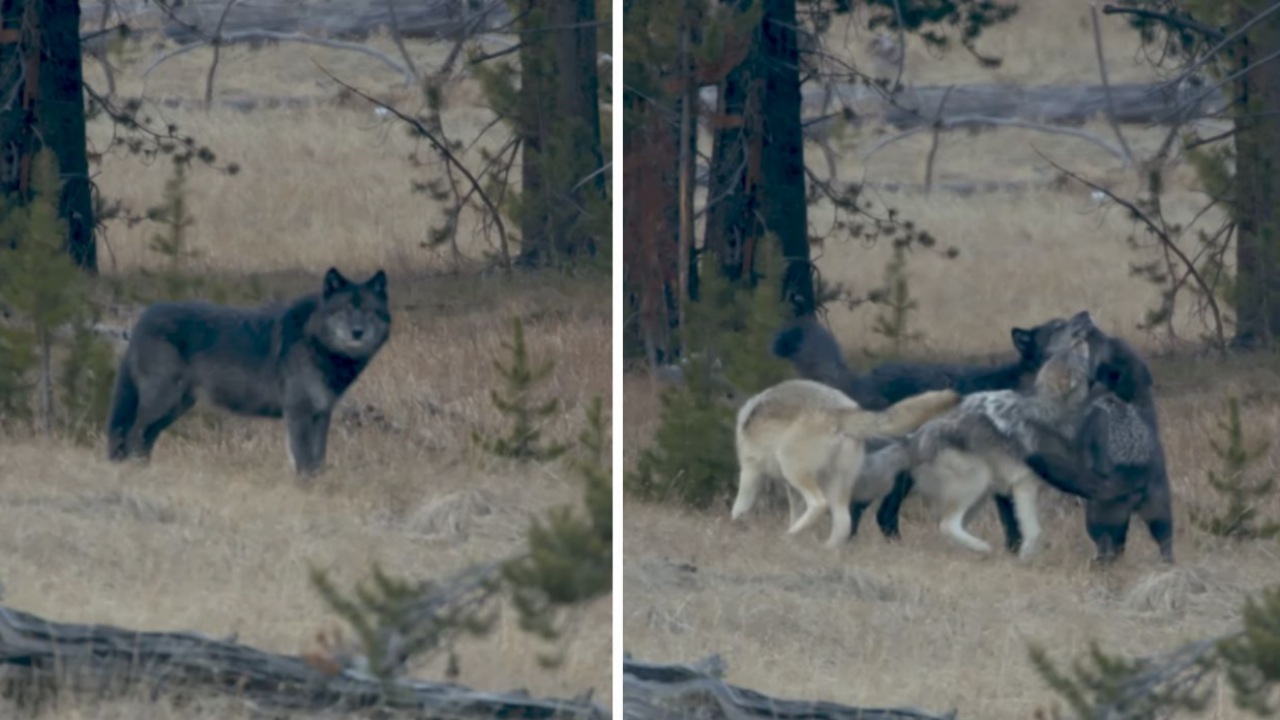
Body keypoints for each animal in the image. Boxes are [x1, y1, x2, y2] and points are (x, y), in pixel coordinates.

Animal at [106, 265, 389, 476]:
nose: (357, 332)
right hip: (164, 401)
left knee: (144, 439)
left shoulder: (321, 414)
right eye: (345, 310)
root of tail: (143, 318)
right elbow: (305, 461)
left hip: (177, 406)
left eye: (368, 311)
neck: (314, 342)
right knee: (132, 435)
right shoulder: (297, 413)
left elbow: (318, 461)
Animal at [732, 379, 962, 545]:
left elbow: (738, 508)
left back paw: (790, 534)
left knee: (819, 504)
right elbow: (794, 513)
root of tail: (843, 412)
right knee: (843, 524)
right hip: (835, 485)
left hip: (795, 470)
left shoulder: (750, 471)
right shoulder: (791, 490)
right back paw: (825, 548)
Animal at [906, 333, 1095, 558]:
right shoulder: (1025, 484)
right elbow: (1034, 531)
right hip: (978, 481)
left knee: (948, 526)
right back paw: (983, 547)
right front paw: (1026, 557)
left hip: (980, 494)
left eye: (1063, 351)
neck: (1052, 409)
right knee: (947, 525)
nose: (1081, 337)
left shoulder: (1022, 489)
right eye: (1076, 354)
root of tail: (916, 439)